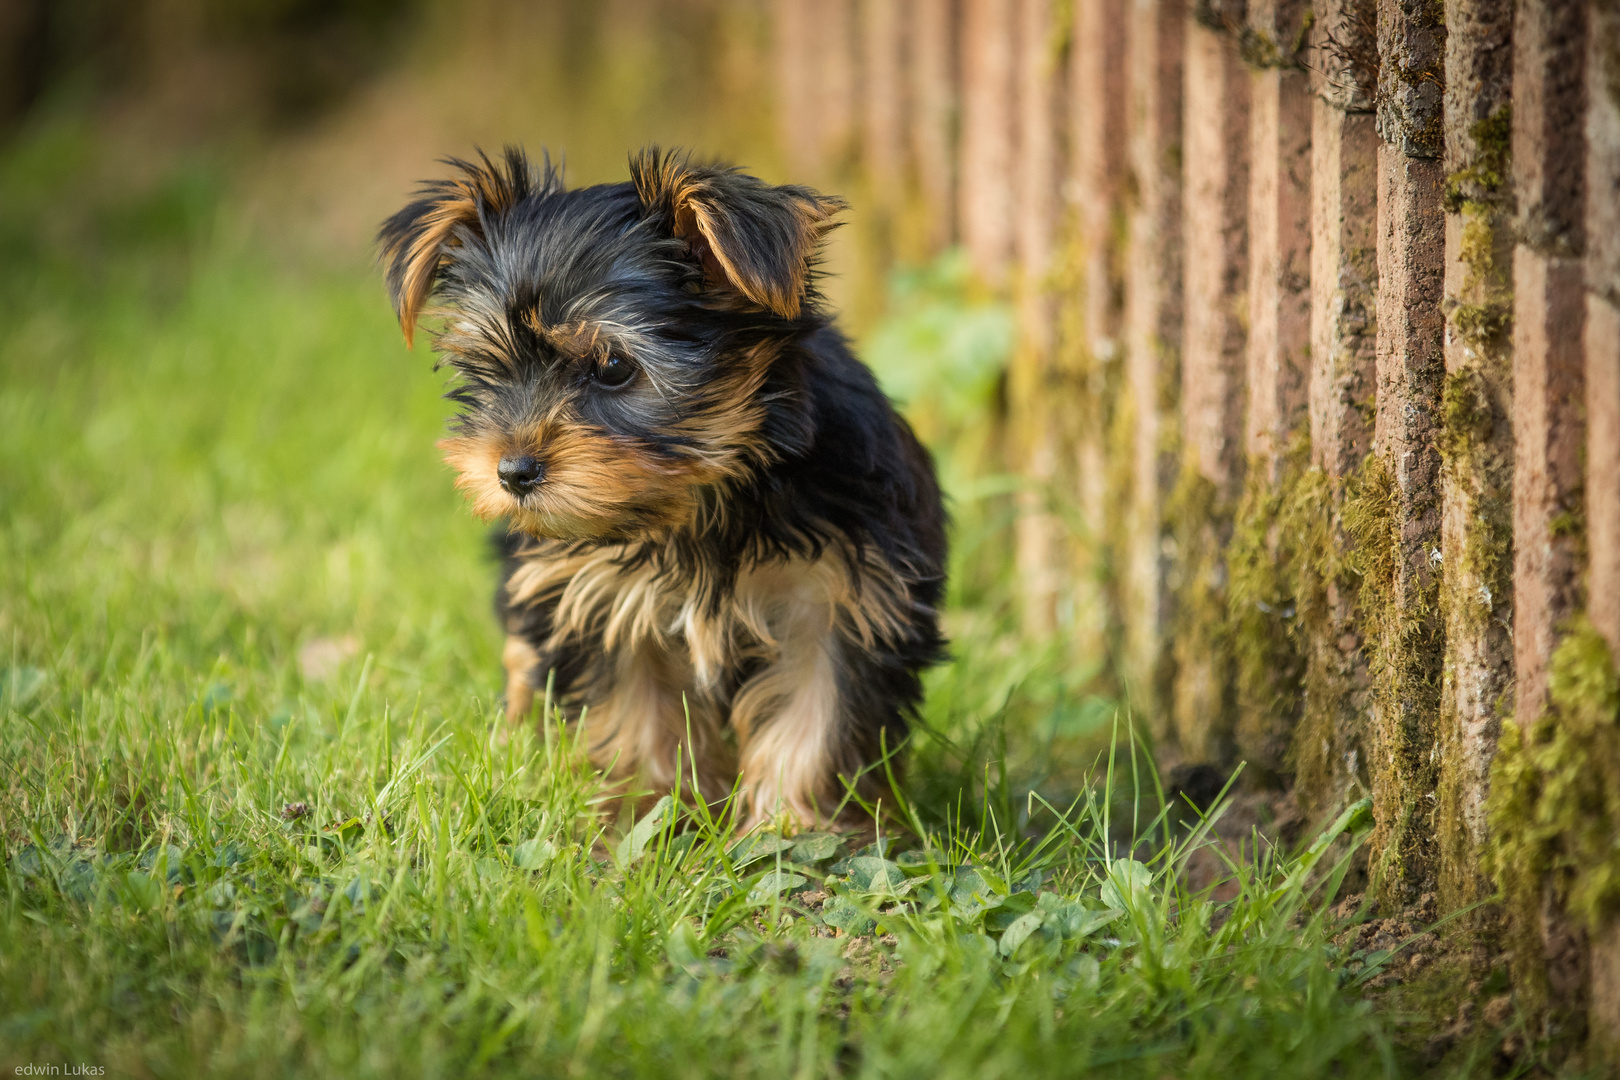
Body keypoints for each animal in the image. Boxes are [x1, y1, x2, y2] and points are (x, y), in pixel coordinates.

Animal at [377, 148, 946, 835]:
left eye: (614, 367)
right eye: (488, 369)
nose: (511, 472)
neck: (703, 501)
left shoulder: (841, 603)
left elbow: (814, 724)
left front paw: (795, 833)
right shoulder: (596, 602)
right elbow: (634, 719)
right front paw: (642, 823)